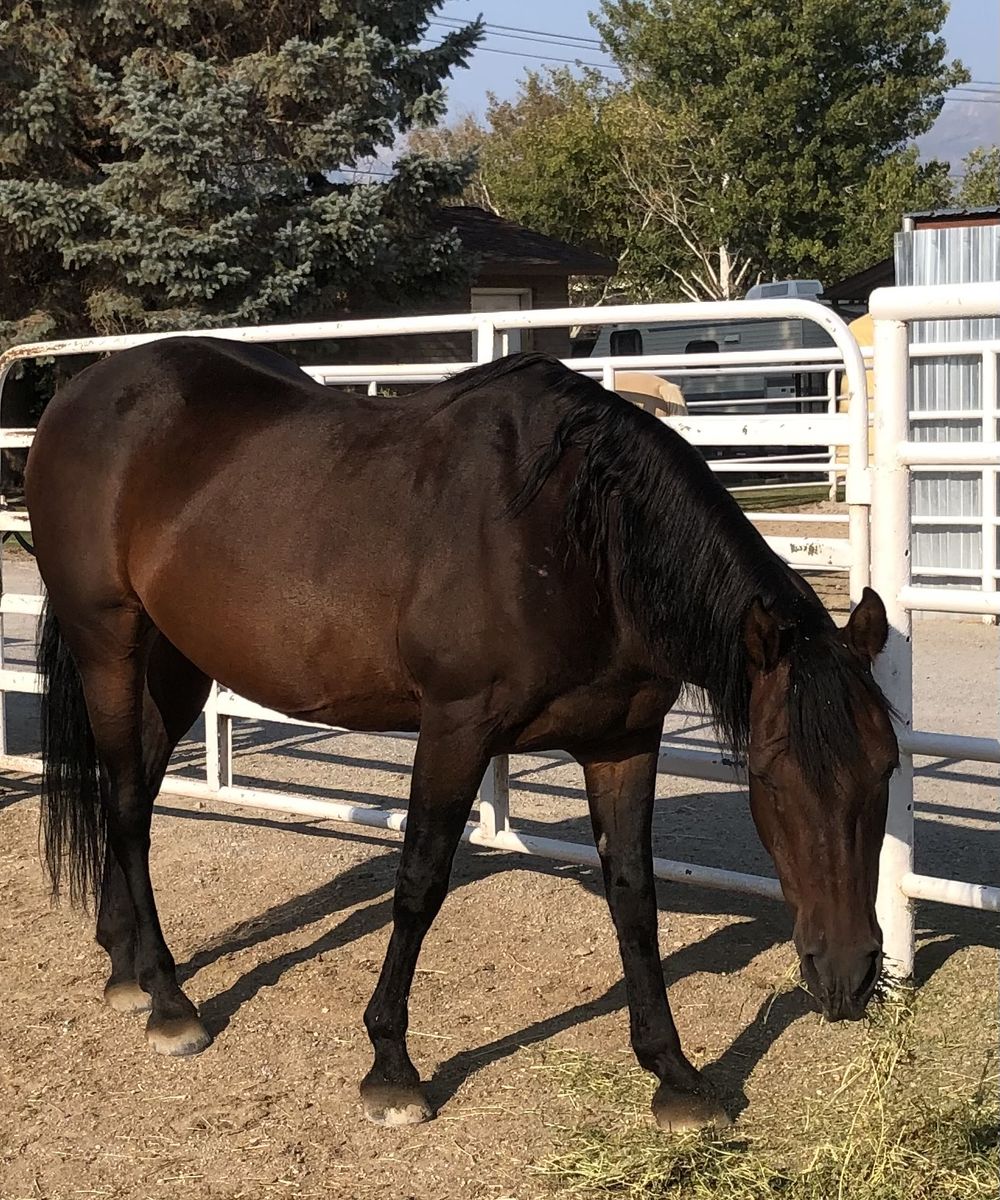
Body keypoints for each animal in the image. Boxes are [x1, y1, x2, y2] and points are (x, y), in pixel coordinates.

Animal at [24, 338, 898, 1134]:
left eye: (887, 770)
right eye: (773, 775)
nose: (850, 976)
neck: (580, 543)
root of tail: (81, 393)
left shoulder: (623, 743)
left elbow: (635, 899)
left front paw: (675, 1073)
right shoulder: (454, 727)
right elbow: (419, 883)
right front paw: (391, 1067)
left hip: (177, 663)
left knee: (130, 791)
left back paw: (125, 965)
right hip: (109, 643)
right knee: (127, 804)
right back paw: (170, 1001)